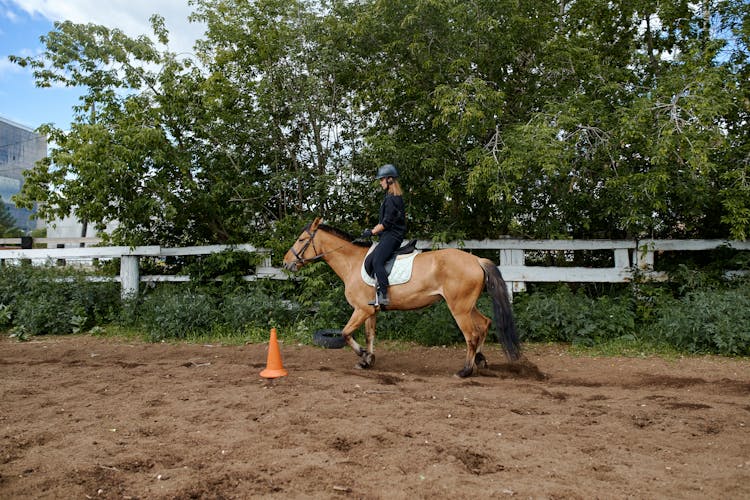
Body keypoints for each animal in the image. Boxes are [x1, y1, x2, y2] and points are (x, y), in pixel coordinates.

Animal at [284, 217, 524, 376]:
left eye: (301, 239)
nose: (286, 263)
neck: (351, 262)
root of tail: (476, 260)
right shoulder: (370, 310)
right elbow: (370, 335)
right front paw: (367, 360)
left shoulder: (361, 309)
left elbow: (345, 333)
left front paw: (363, 355)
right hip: (467, 305)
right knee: (485, 323)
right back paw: (480, 360)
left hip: (459, 308)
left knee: (471, 335)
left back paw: (465, 370)